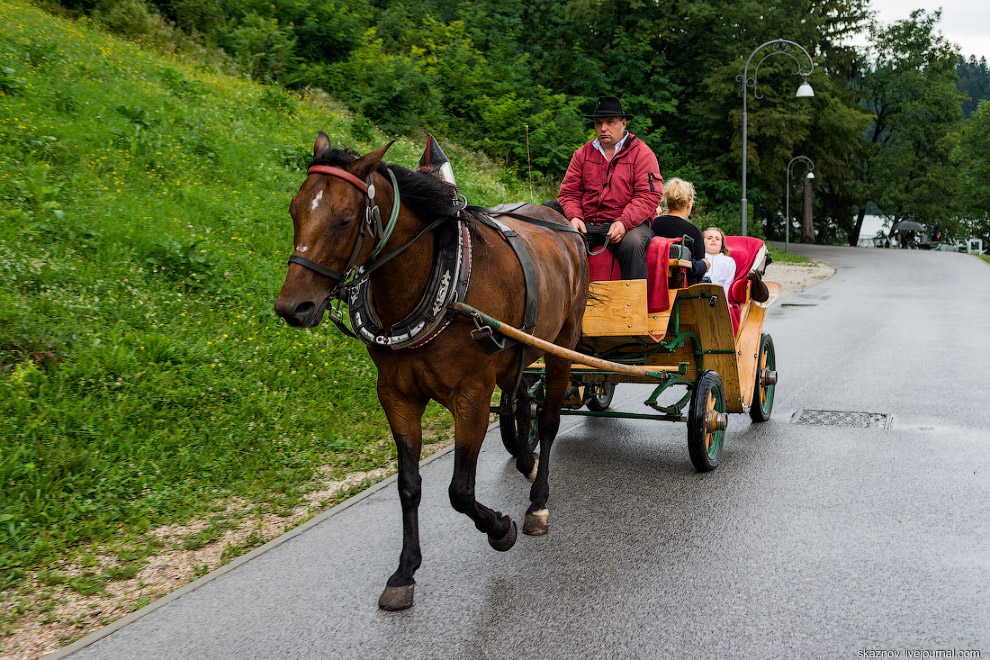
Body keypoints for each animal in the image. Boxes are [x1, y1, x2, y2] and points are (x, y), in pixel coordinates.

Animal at [276, 131, 588, 612]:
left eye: (345, 219)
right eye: (295, 209)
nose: (293, 307)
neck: (438, 279)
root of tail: (562, 222)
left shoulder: (471, 396)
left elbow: (460, 491)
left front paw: (500, 528)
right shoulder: (396, 395)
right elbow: (408, 485)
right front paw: (405, 571)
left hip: (560, 346)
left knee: (551, 419)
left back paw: (537, 502)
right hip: (516, 350)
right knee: (521, 402)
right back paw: (524, 458)